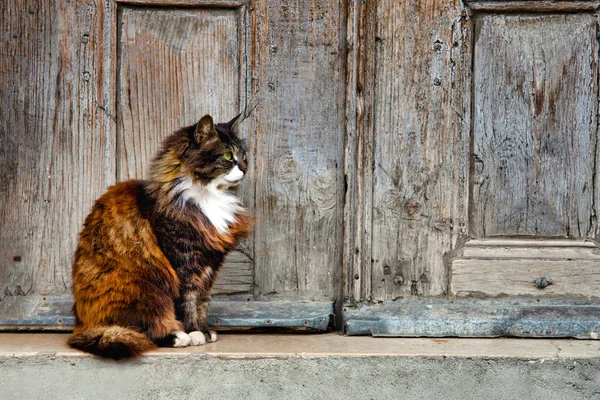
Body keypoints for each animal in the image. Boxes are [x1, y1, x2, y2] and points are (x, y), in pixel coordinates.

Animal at [68, 113, 253, 360]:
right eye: (227, 156)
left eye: (244, 155)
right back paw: (176, 336)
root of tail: (82, 325)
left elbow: (202, 303)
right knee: (141, 330)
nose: (245, 167)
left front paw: (205, 330)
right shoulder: (184, 265)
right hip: (147, 288)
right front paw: (194, 332)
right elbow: (188, 303)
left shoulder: (209, 268)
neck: (209, 196)